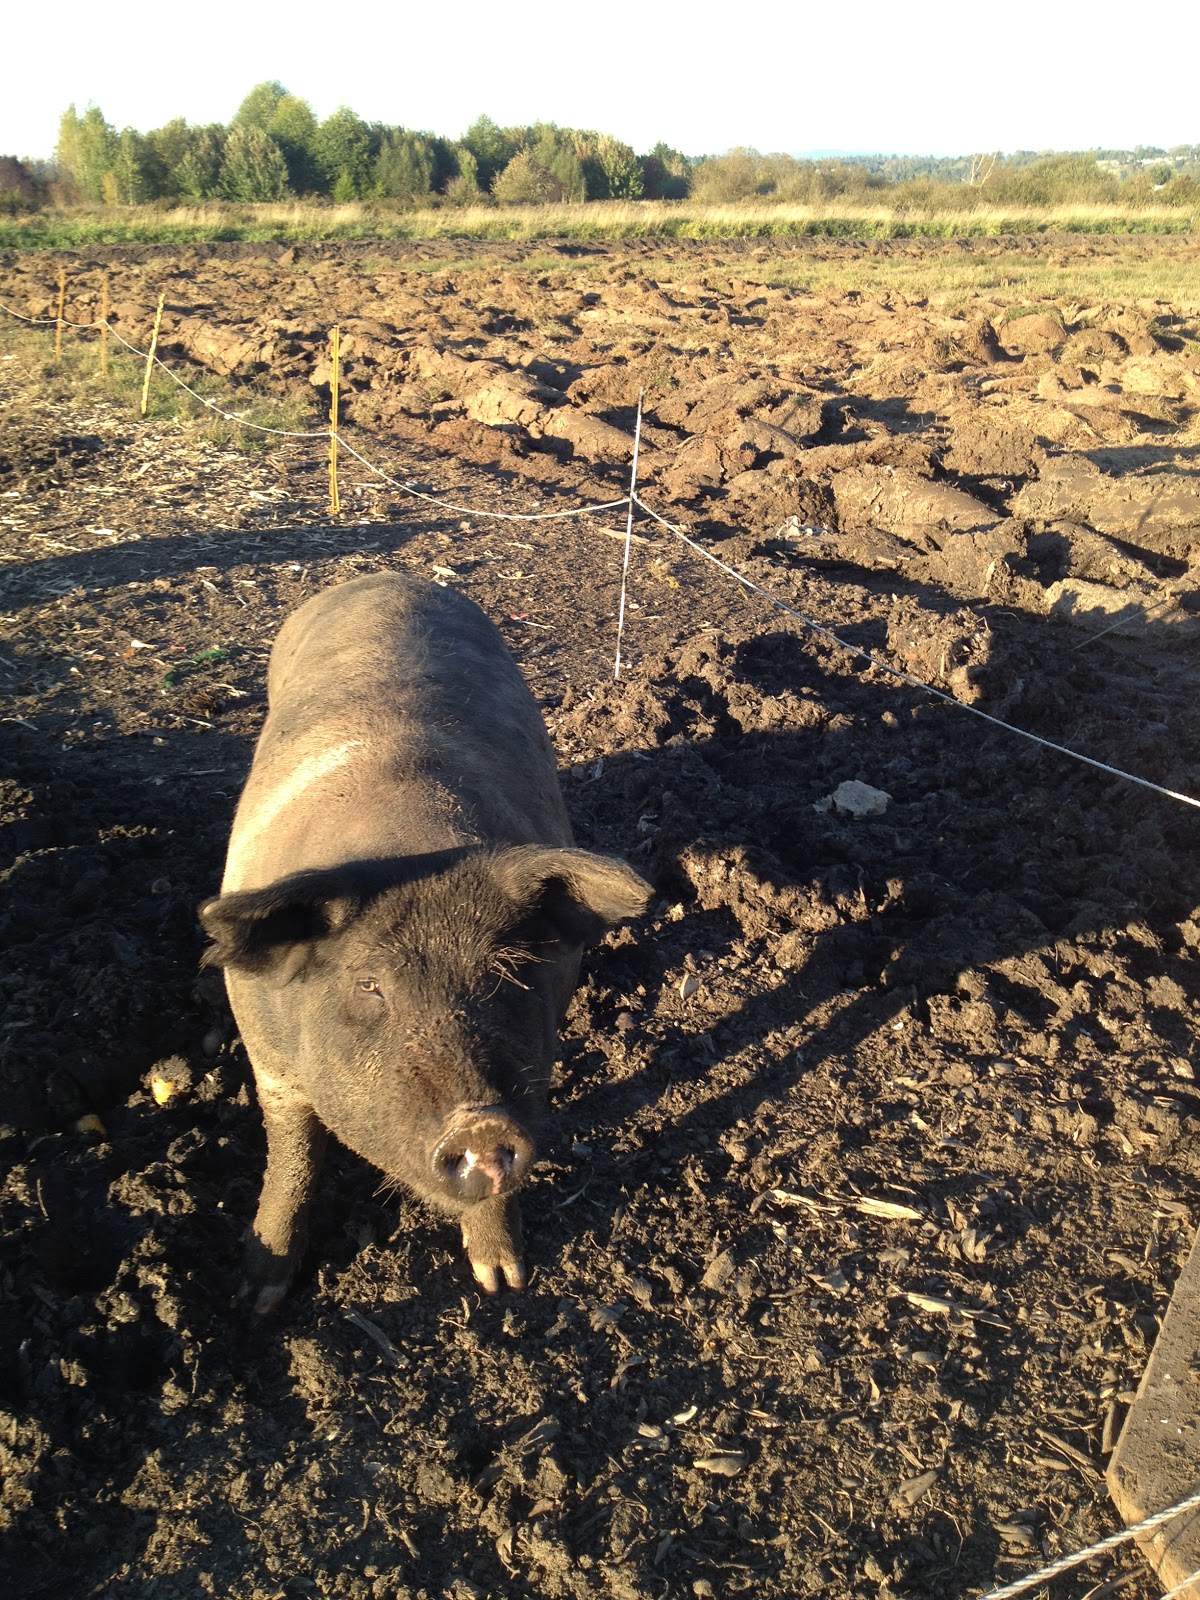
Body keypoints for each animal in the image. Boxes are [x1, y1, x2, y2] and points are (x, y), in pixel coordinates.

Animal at [199, 573, 650, 1312]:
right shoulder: (268, 1059)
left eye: (505, 972)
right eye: (369, 985)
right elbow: (293, 1155)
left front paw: (504, 1282)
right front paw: (257, 1296)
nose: (480, 1123)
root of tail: (383, 576)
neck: (407, 842)